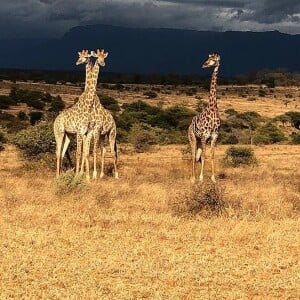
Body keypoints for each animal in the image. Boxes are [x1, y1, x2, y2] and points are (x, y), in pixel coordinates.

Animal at [53, 48, 107, 177]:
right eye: (80, 57)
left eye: (104, 57)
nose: (77, 62)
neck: (88, 106)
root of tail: (55, 121)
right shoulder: (79, 131)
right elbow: (79, 152)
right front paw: (79, 174)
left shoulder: (86, 132)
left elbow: (84, 152)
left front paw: (84, 174)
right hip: (59, 132)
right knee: (58, 151)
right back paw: (57, 175)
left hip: (68, 135)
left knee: (62, 152)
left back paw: (61, 174)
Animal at [82, 49, 119, 180]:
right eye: (98, 57)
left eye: (104, 57)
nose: (103, 63)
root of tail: (114, 120)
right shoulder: (92, 131)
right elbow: (89, 150)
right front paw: (89, 174)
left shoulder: (96, 130)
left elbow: (93, 150)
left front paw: (93, 174)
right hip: (103, 135)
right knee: (103, 151)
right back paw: (102, 174)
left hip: (111, 133)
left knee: (112, 151)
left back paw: (116, 175)